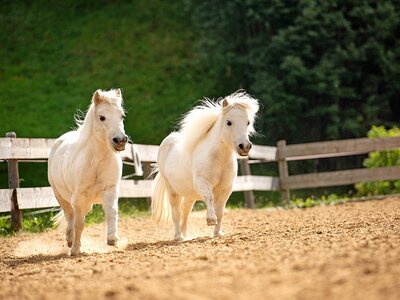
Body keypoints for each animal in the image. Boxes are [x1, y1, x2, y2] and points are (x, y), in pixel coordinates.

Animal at [48, 88, 128, 255]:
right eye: (102, 117)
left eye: (122, 116)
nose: (120, 141)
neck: (96, 163)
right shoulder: (78, 198)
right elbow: (79, 224)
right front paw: (75, 250)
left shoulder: (110, 190)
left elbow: (112, 213)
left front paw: (112, 239)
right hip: (62, 197)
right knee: (70, 217)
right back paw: (70, 241)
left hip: (87, 204)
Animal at [151, 90, 260, 240]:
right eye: (229, 122)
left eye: (248, 122)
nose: (244, 146)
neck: (218, 160)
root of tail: (166, 142)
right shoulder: (202, 184)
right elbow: (209, 199)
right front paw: (210, 220)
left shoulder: (226, 190)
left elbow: (220, 211)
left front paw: (218, 233)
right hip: (172, 190)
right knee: (176, 212)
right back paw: (179, 237)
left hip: (189, 194)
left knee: (185, 211)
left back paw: (185, 235)